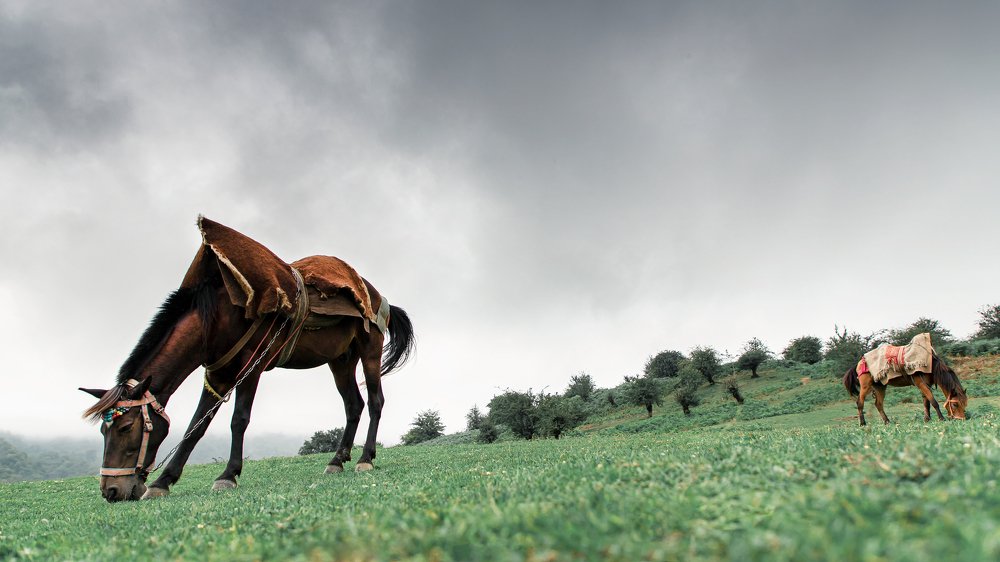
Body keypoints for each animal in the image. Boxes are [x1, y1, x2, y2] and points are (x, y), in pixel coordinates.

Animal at [80, 233, 414, 503]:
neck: (215, 320)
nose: (111, 491)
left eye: (125, 427)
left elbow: (238, 420)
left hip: (369, 351)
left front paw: (228, 475)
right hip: (340, 360)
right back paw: (336, 460)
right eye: (103, 429)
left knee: (375, 401)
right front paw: (164, 481)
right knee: (353, 406)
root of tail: (374, 294)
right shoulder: (217, 375)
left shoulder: (251, 368)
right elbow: (196, 426)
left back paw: (365, 458)